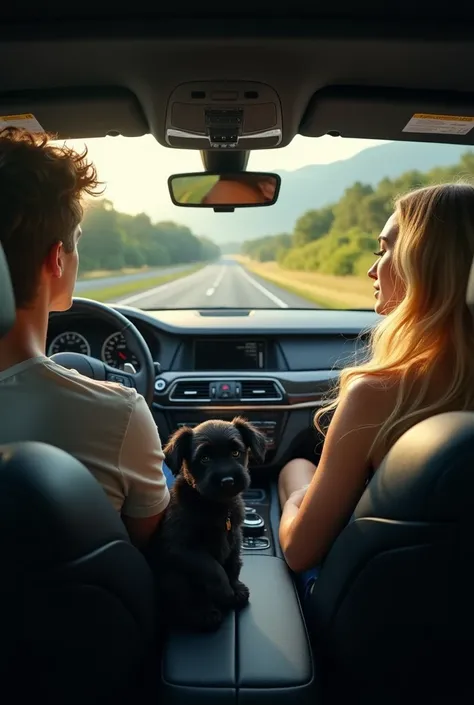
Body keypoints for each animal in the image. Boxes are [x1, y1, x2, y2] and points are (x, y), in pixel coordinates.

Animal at [148, 416, 266, 628]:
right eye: (205, 459)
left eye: (235, 452)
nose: (228, 481)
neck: (216, 505)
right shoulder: (179, 547)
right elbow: (212, 567)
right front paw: (225, 592)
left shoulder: (235, 536)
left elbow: (233, 562)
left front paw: (235, 588)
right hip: (174, 575)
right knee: (183, 596)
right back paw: (204, 613)